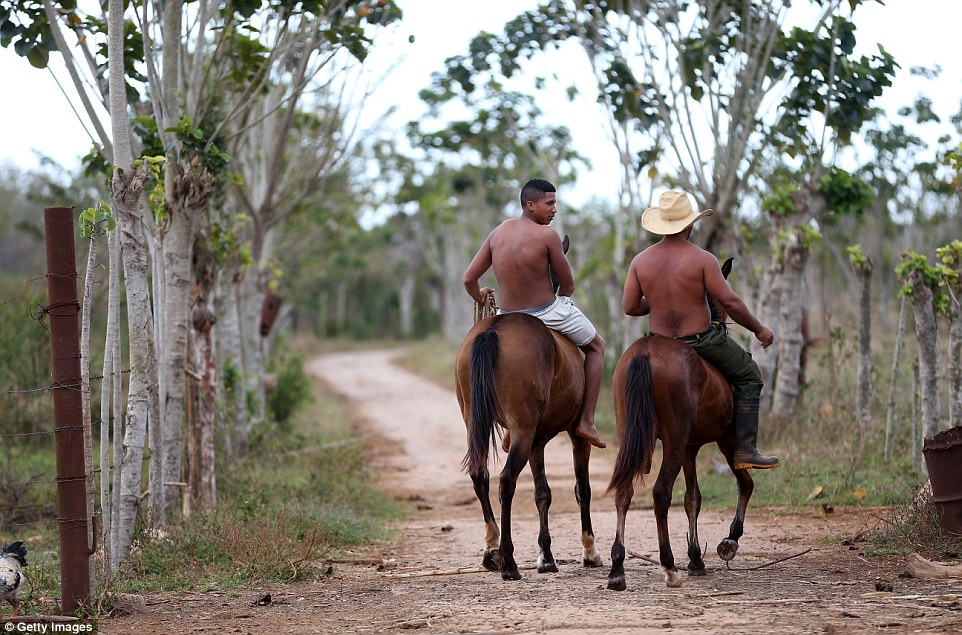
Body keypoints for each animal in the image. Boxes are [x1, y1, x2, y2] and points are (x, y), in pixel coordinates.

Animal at [456, 314, 600, 580]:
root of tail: (494, 328)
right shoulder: (577, 436)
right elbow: (582, 490)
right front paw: (590, 551)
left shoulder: (537, 441)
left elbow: (542, 493)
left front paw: (546, 557)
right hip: (523, 430)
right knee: (506, 480)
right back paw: (508, 561)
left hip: (474, 420)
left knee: (479, 474)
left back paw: (491, 549)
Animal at [604, 258, 752, 592]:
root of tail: (645, 351)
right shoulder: (726, 439)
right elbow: (744, 484)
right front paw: (730, 540)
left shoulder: (690, 447)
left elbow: (692, 499)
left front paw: (696, 559)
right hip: (675, 439)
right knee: (661, 493)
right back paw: (669, 566)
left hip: (631, 433)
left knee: (624, 491)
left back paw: (618, 567)